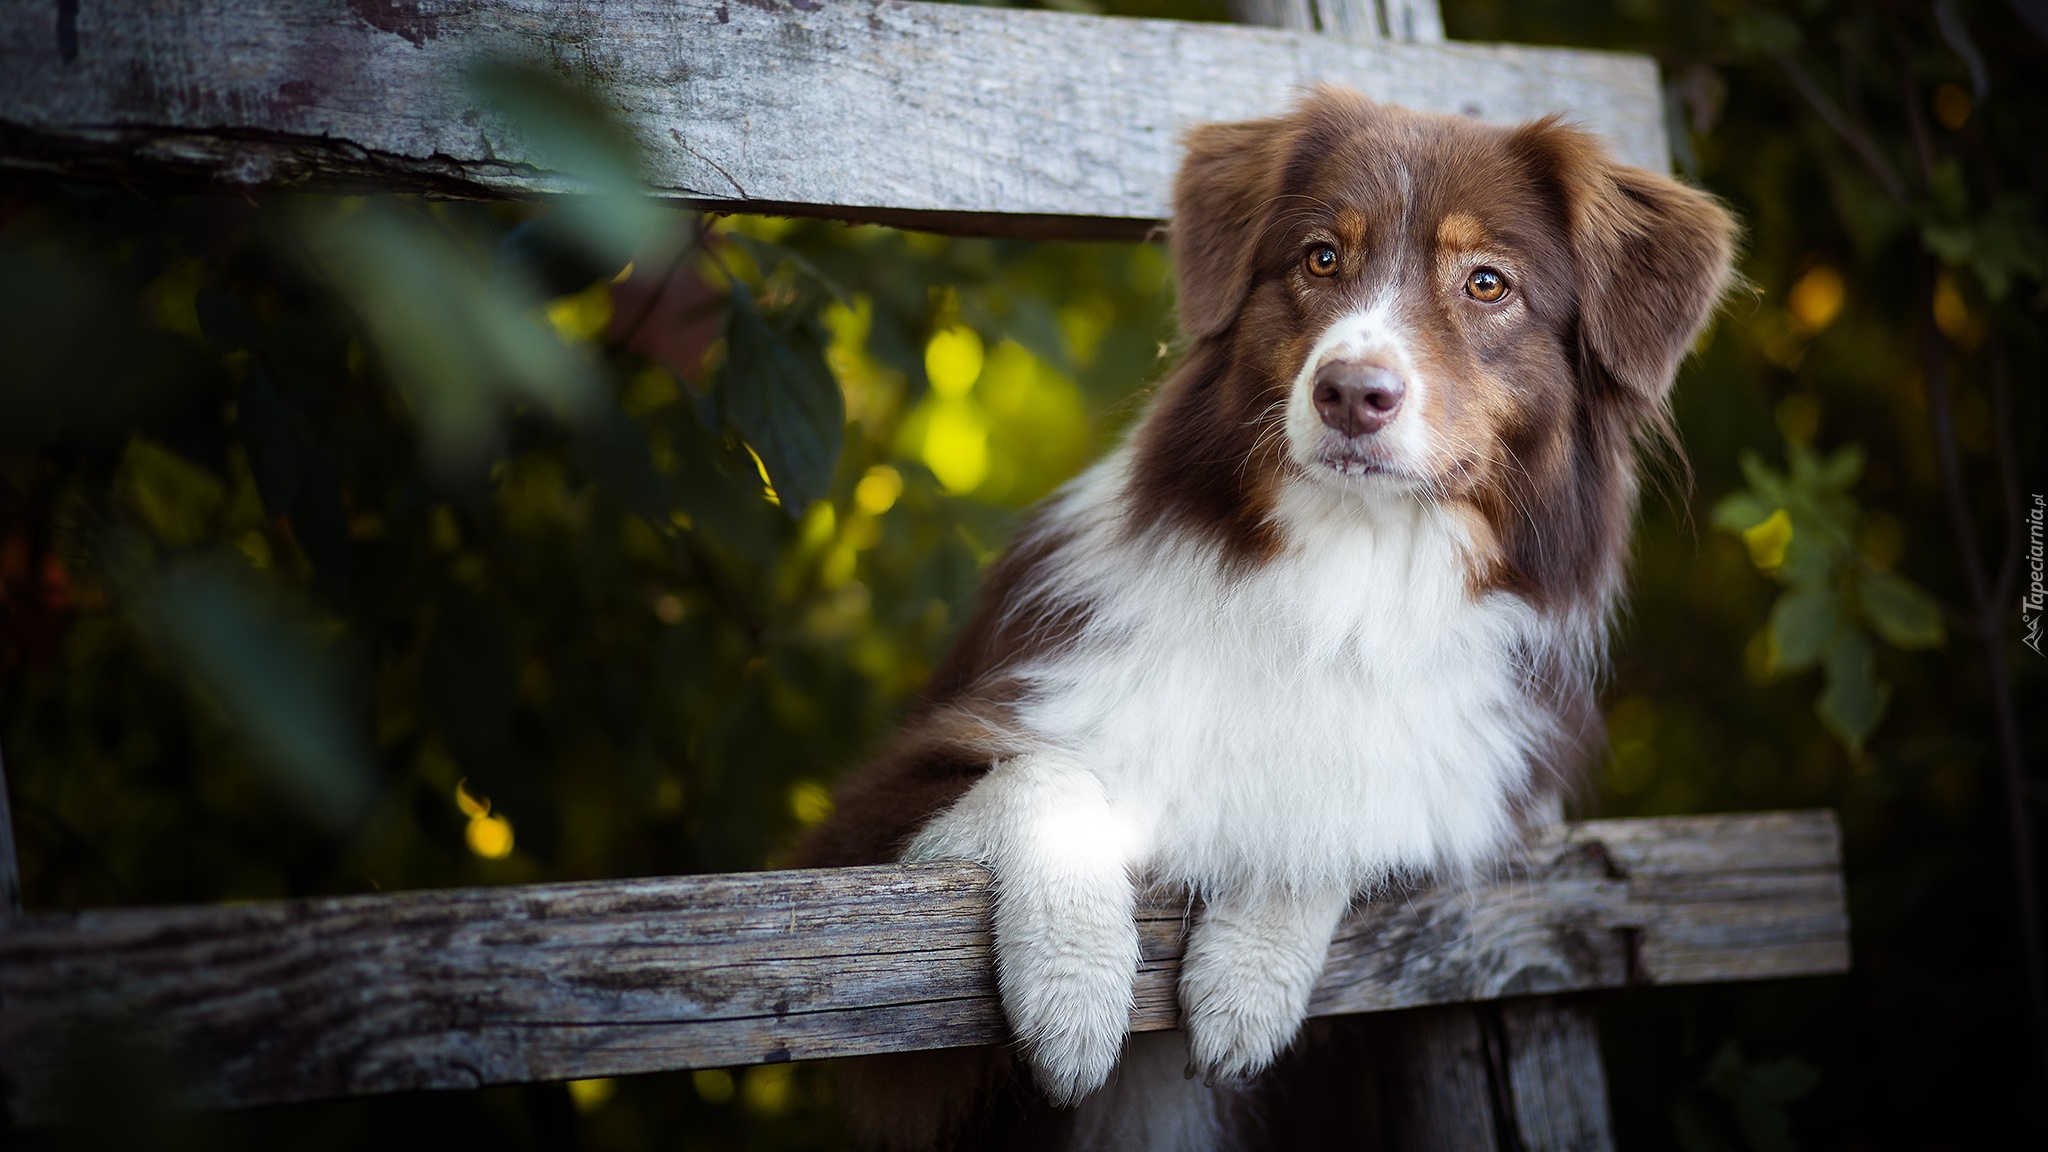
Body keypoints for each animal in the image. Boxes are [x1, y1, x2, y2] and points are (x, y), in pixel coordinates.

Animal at [806, 85, 1736, 1139]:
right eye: (1321, 257)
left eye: (1488, 283)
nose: (1350, 393)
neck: (1341, 579)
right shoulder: (861, 839)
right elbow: (1042, 775)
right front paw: (1075, 983)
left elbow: (1335, 817)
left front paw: (1249, 975)